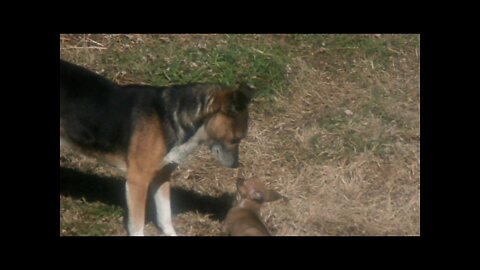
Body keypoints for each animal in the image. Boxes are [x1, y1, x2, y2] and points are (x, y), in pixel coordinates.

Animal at [60, 58, 255, 234]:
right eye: (236, 139)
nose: (236, 165)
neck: (169, 119)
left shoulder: (162, 177)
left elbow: (165, 216)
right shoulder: (137, 181)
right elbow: (137, 225)